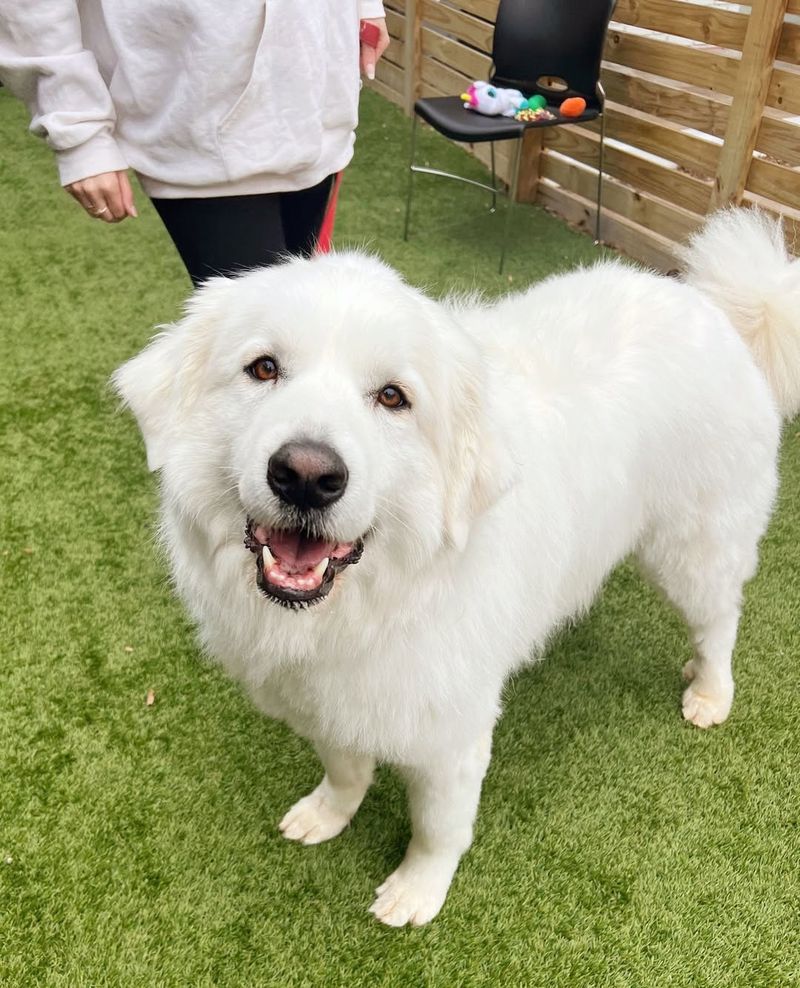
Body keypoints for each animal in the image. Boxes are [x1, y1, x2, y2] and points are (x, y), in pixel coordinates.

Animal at [115, 208, 800, 928]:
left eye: (393, 397)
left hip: (691, 550)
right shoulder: (334, 702)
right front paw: (327, 815)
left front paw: (416, 893)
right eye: (263, 367)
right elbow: (345, 770)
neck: (368, 605)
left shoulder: (449, 737)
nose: (305, 475)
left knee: (720, 619)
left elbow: (438, 828)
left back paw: (710, 692)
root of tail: (719, 311)